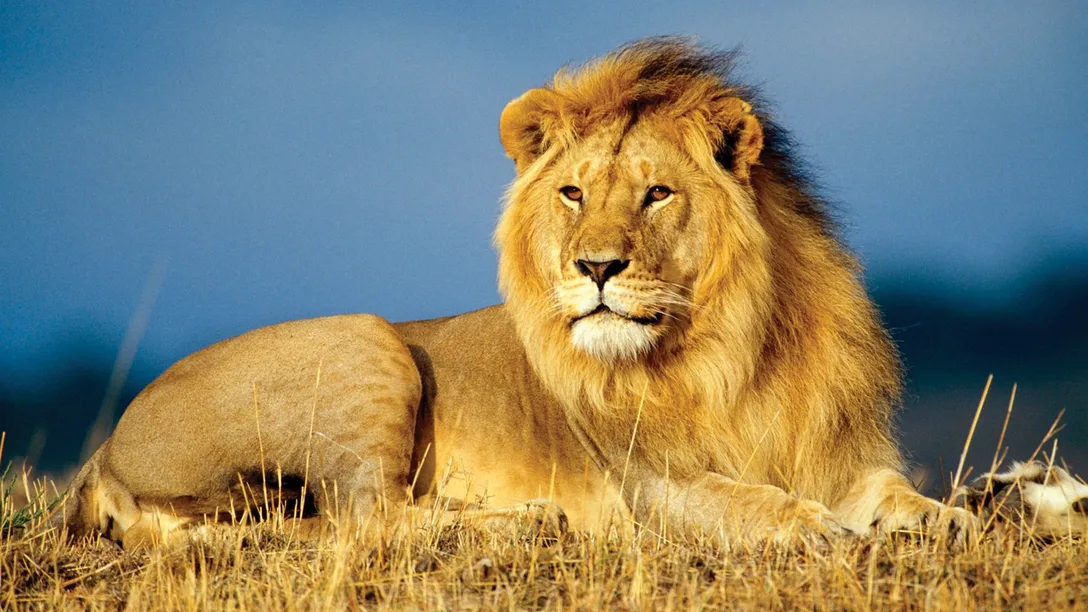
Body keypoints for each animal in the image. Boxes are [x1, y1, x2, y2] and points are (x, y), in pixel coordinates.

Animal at [54, 38, 974, 549]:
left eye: (656, 194)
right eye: (572, 193)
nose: (595, 268)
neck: (733, 348)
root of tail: (104, 450)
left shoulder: (837, 450)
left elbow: (888, 490)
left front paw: (948, 517)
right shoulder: (651, 487)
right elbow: (744, 499)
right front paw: (811, 526)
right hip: (366, 340)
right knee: (367, 519)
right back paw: (526, 522)